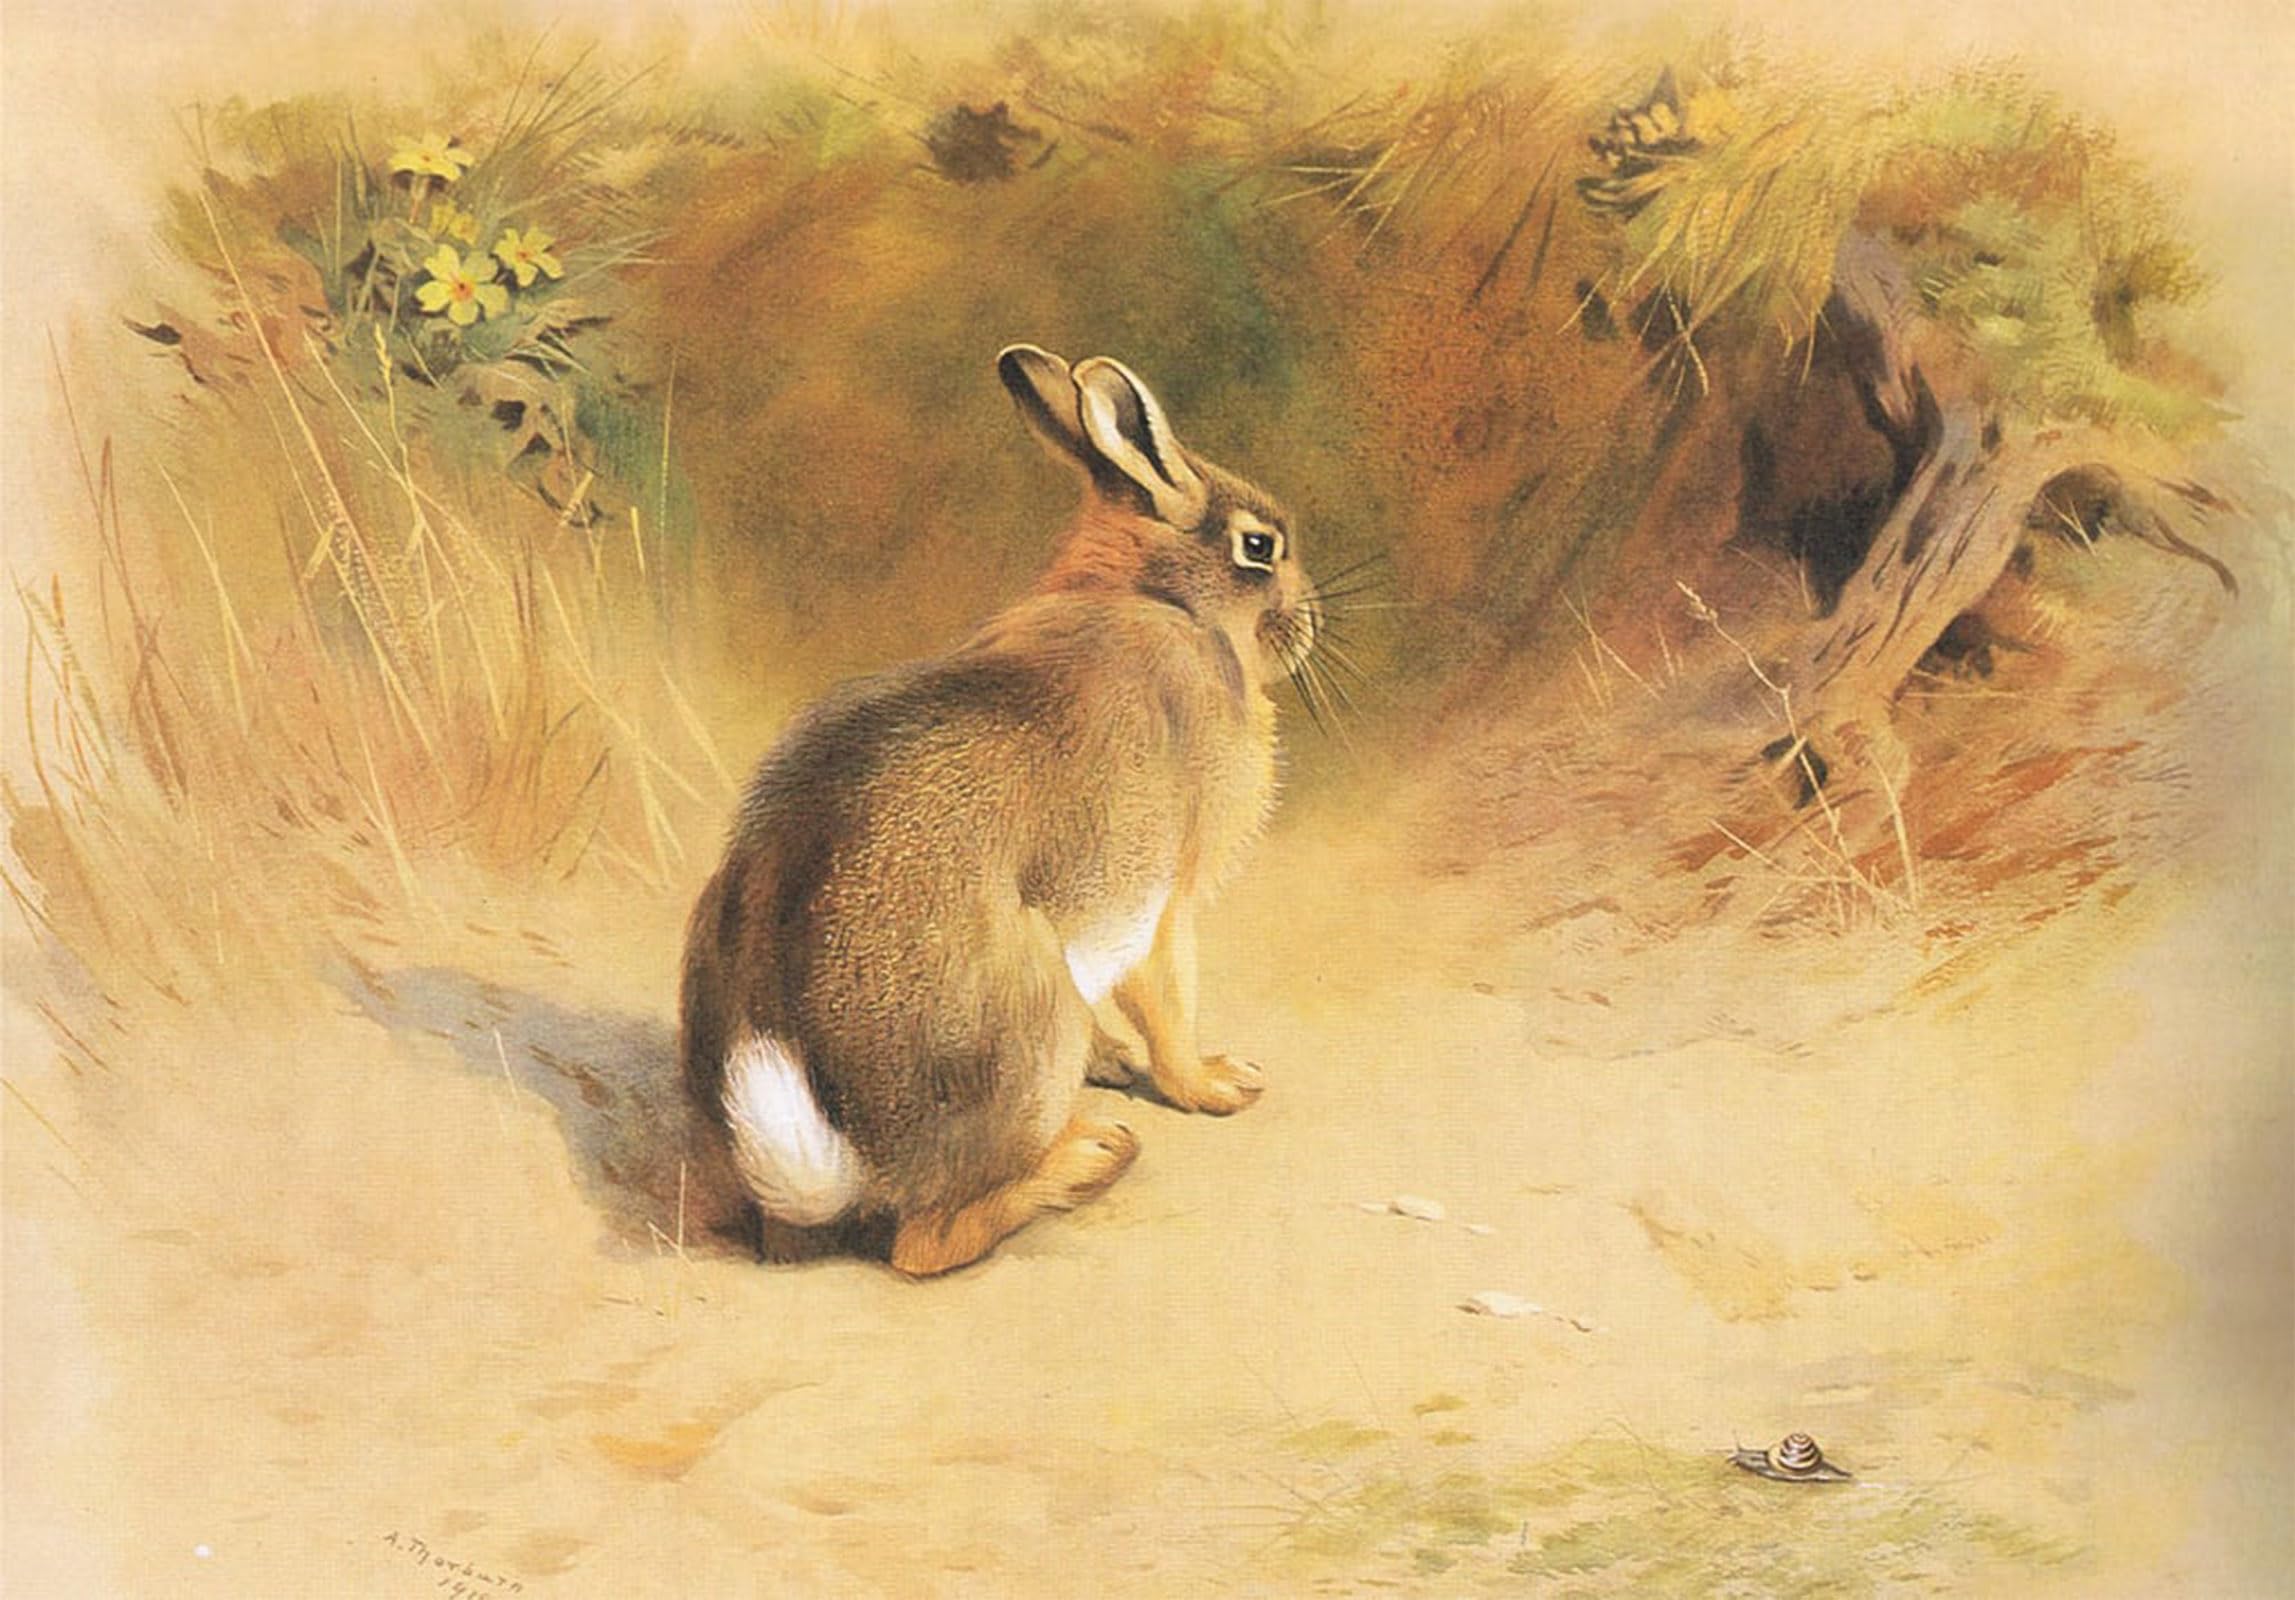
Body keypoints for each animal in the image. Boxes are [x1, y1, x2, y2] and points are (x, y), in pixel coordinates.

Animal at [679, 344, 1317, 1277]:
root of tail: (844, 1161)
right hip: (1028, 1011)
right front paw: (1214, 1085)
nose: (1308, 623)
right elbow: (1167, 998)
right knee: (924, 1245)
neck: (1158, 598)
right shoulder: (1162, 896)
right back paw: (1087, 1159)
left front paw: (1117, 1061)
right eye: (1259, 546)